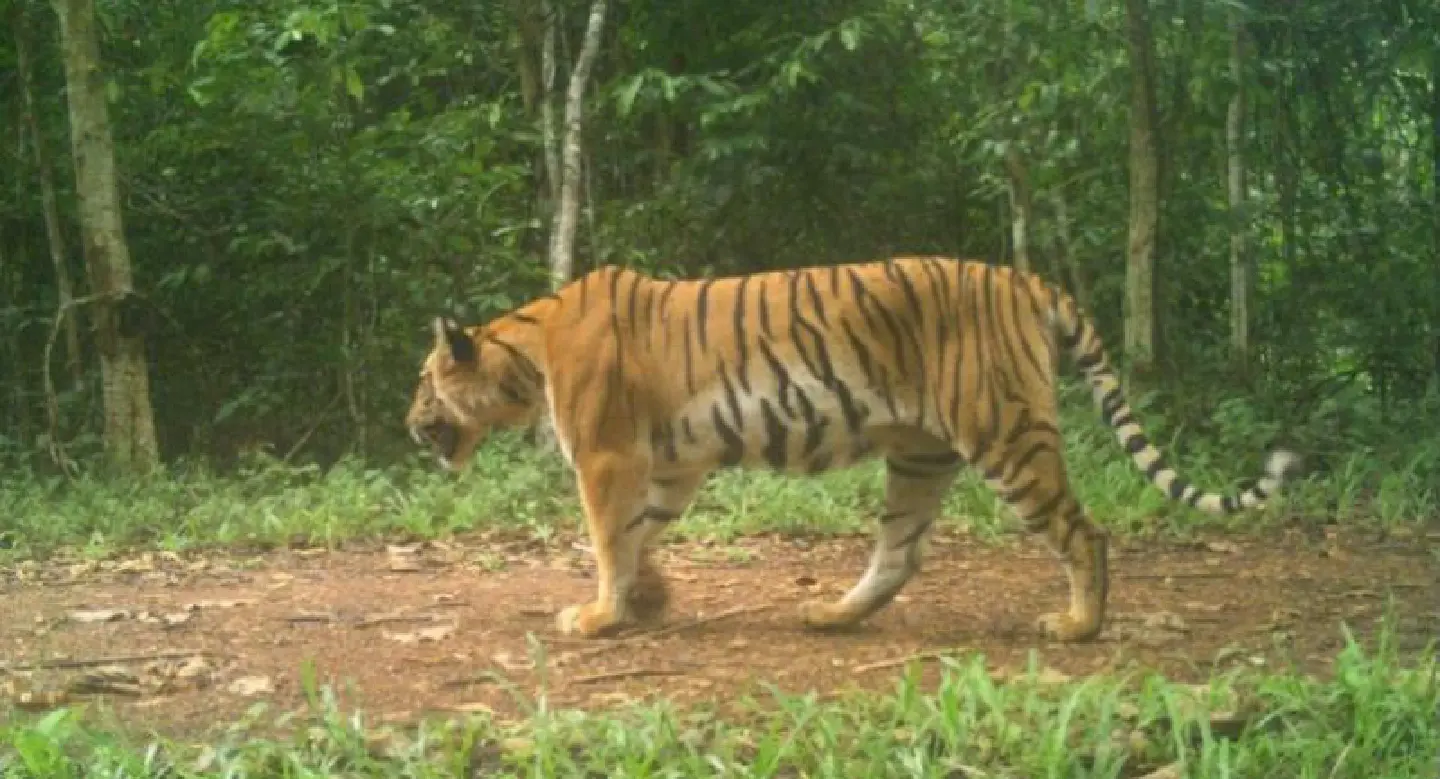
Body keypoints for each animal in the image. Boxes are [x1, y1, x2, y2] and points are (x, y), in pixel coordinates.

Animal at [406, 257, 1299, 642]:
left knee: (1085, 531)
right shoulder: (670, 464)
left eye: (423, 382)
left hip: (1007, 434)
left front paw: (597, 615)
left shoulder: (608, 457)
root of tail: (1025, 279)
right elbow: (637, 535)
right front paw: (646, 598)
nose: (408, 421)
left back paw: (1078, 625)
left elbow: (604, 538)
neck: (524, 353)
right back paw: (832, 613)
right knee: (900, 552)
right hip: (921, 455)